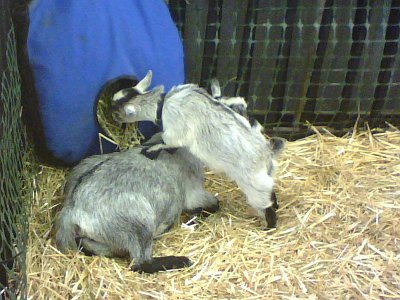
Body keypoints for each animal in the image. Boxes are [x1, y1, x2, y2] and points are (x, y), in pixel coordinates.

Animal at [54, 146, 219, 274]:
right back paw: (180, 261)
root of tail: (72, 209)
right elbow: (215, 204)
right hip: (139, 221)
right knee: (140, 263)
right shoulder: (193, 193)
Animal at [111, 71, 284, 227]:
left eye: (116, 112)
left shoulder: (176, 130)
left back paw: (270, 226)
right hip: (266, 176)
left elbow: (169, 141)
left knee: (265, 204)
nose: (110, 116)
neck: (162, 104)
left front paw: (151, 149)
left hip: (254, 185)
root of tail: (267, 154)